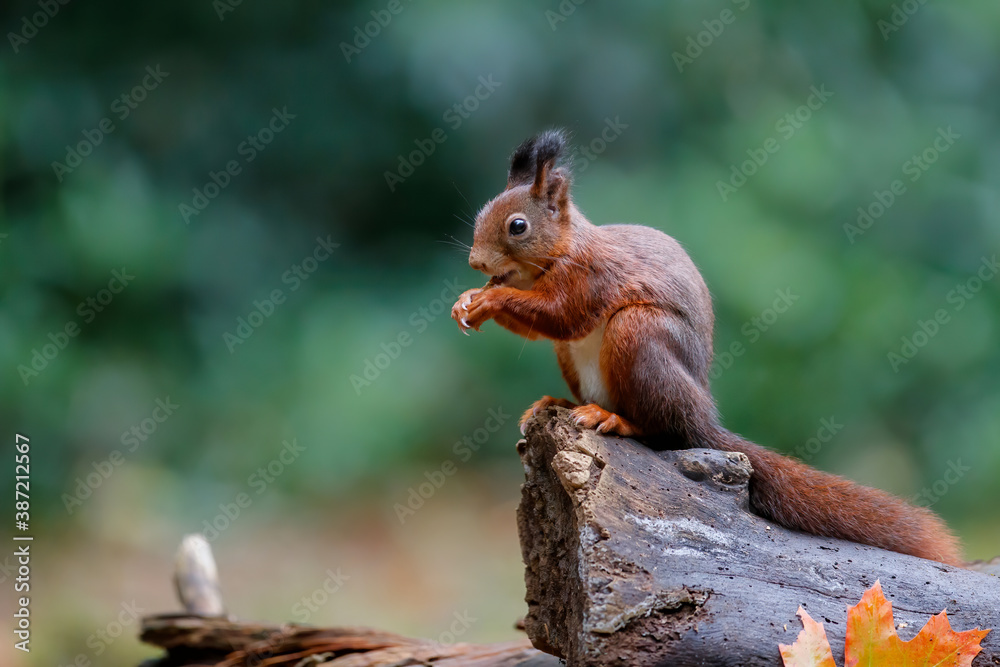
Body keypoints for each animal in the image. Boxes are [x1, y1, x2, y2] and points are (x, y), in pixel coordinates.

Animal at [449, 128, 963, 566]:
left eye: (518, 226)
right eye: (482, 215)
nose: (475, 263)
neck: (559, 251)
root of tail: (704, 418)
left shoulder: (589, 277)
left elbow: (562, 315)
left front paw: (490, 298)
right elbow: (546, 329)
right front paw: (467, 301)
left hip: (640, 335)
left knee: (662, 429)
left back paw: (613, 419)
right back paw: (560, 403)